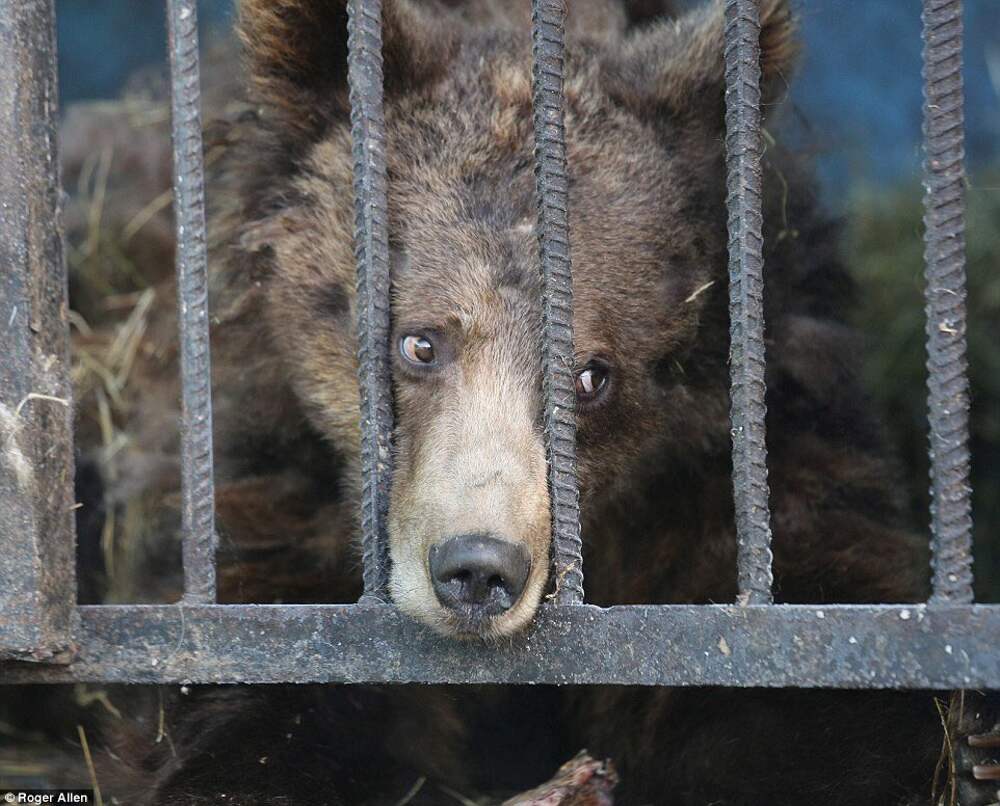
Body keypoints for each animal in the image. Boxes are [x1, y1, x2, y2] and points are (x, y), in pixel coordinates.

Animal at [56, 0, 976, 804]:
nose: (477, 568)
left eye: (592, 374)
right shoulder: (270, 472)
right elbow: (260, 674)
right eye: (421, 341)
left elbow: (811, 692)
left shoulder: (738, 473)